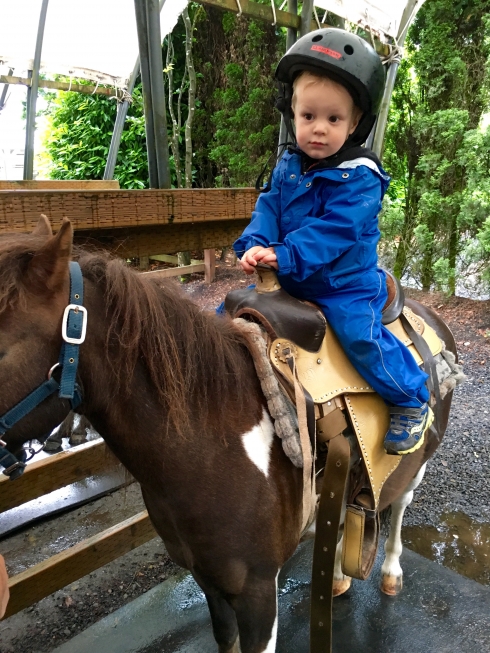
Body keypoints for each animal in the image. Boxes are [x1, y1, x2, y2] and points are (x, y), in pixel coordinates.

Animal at [0, 219, 456, 652]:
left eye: (1, 350)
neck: (210, 447)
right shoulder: (209, 581)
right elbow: (225, 637)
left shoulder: (258, 593)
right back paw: (340, 576)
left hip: (419, 461)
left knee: (401, 504)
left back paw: (391, 569)